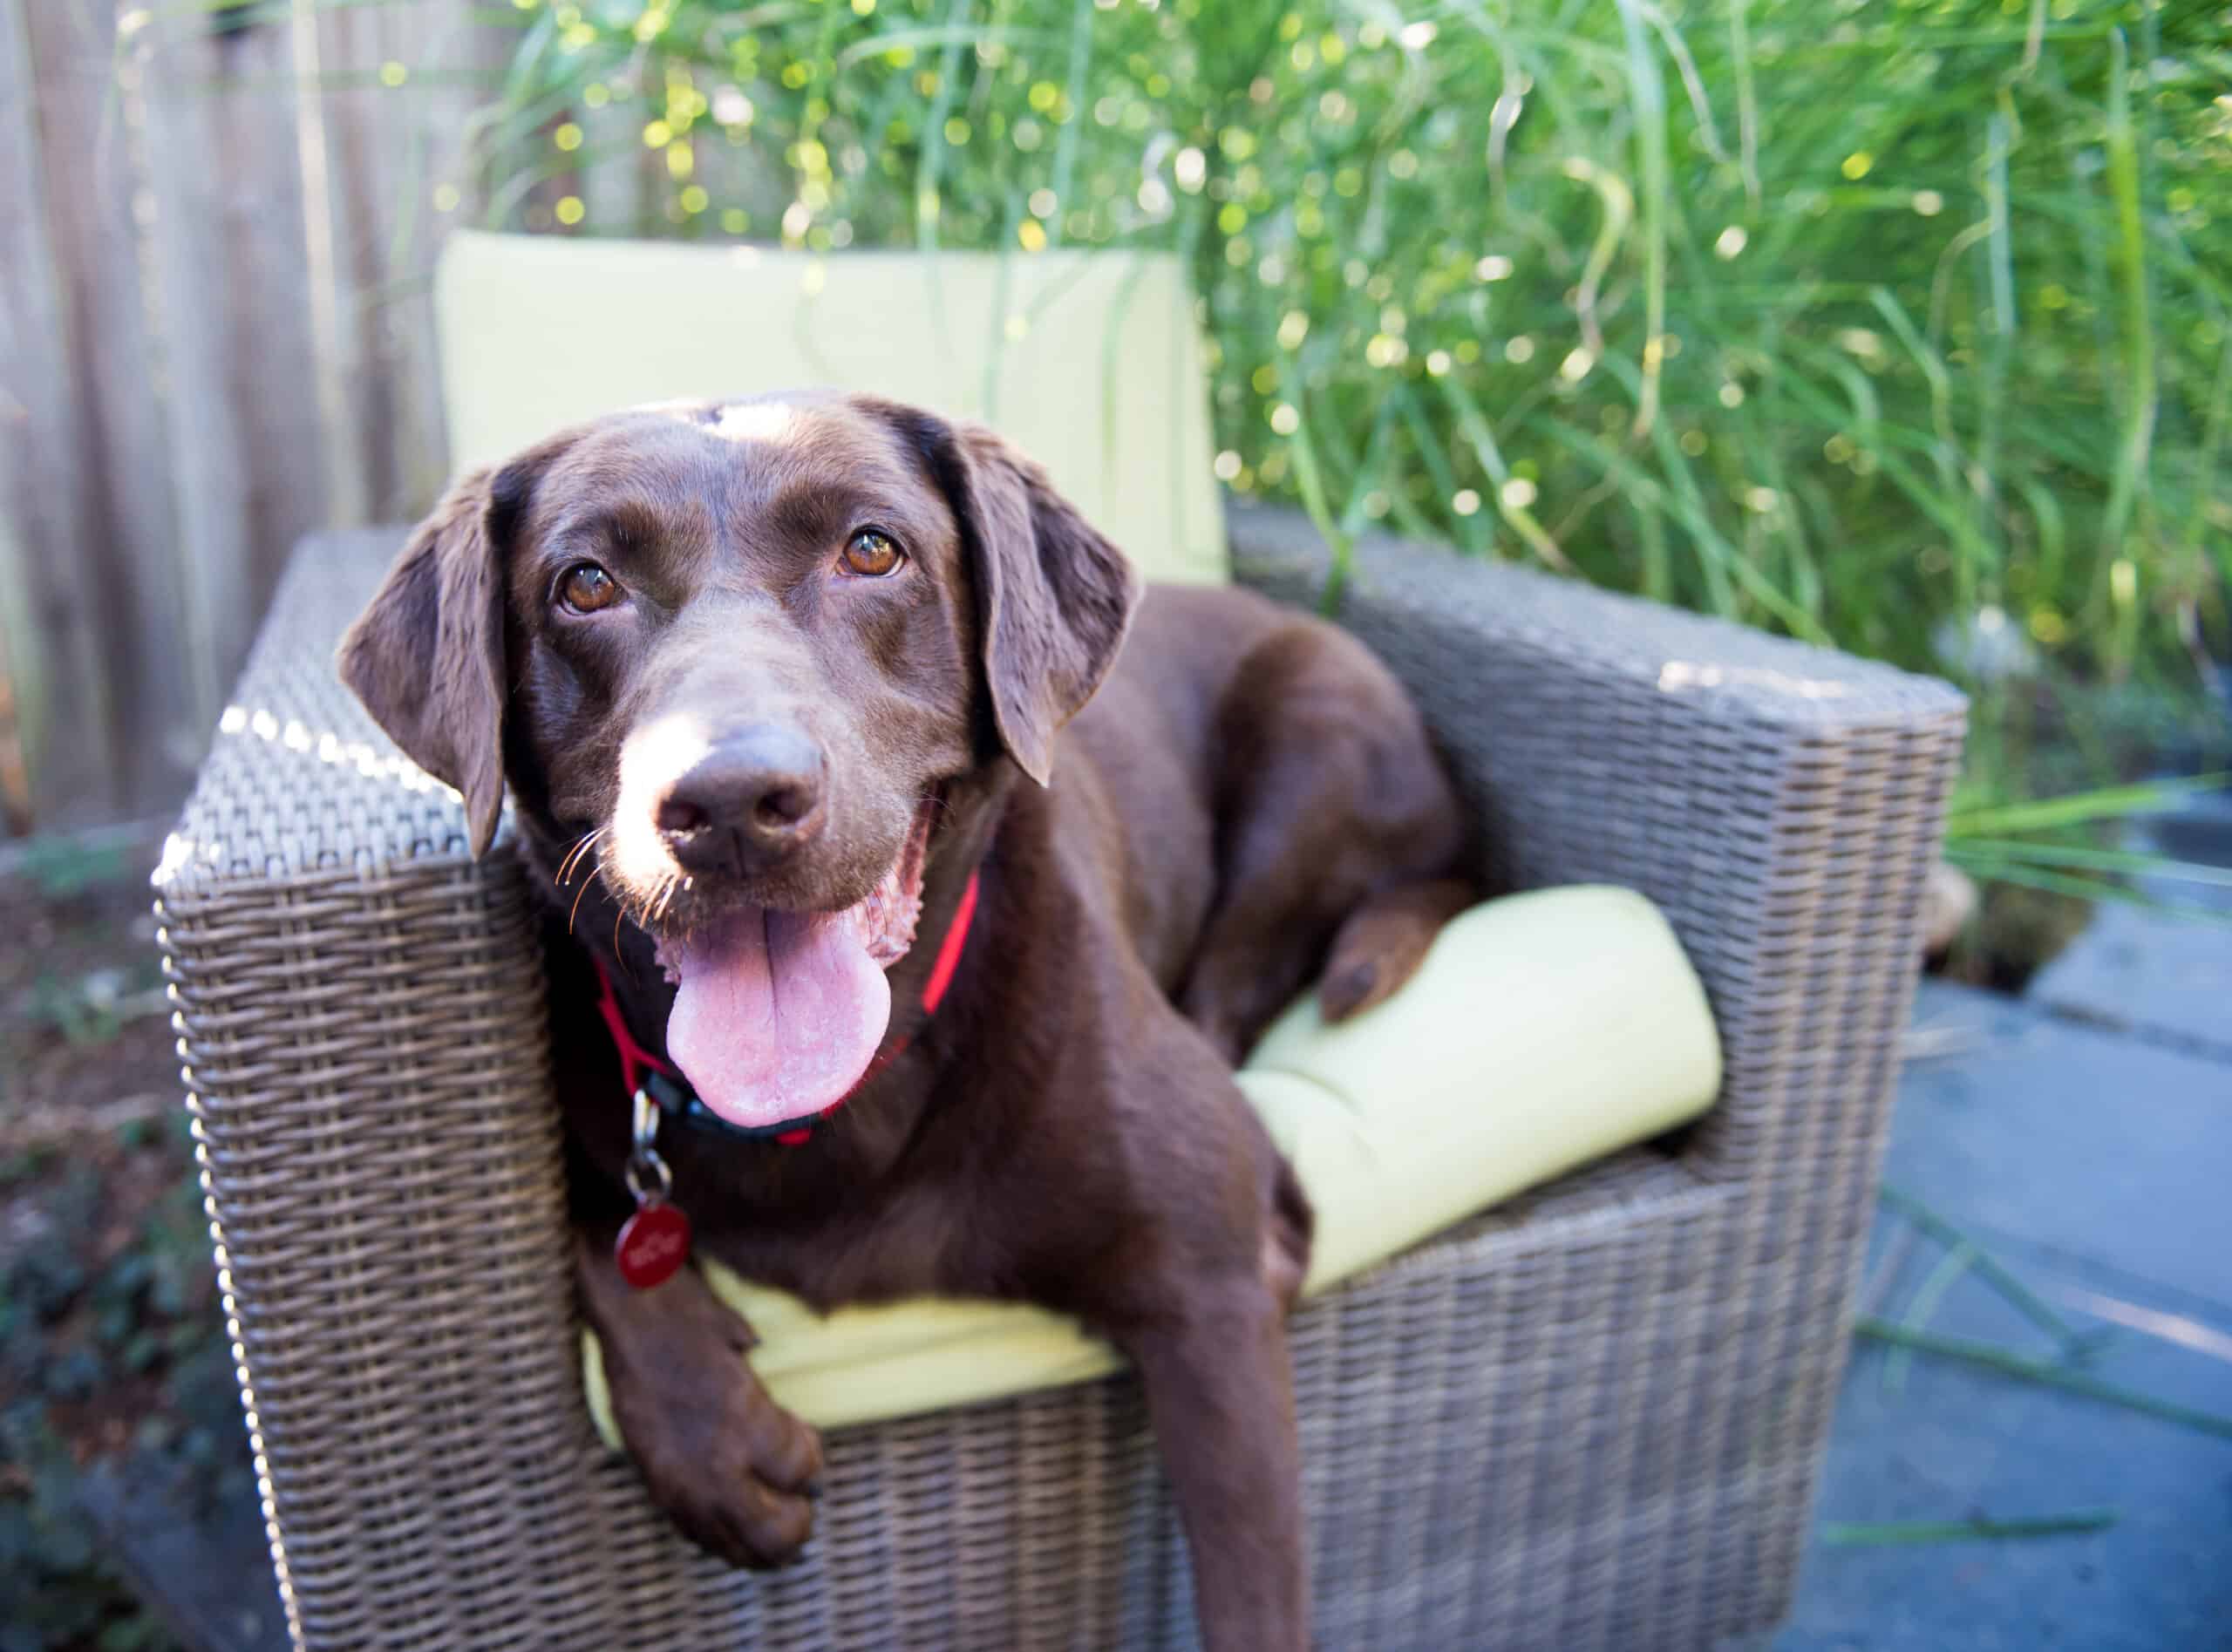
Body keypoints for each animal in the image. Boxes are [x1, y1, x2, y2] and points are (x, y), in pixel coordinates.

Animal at [339, 392, 1473, 1642]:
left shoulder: (1216, 1281)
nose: (730, 801)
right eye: (584, 582)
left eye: (871, 549)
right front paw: (713, 1435)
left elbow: (1252, 1596)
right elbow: (597, 1214)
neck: (835, 1105)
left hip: (1314, 749)